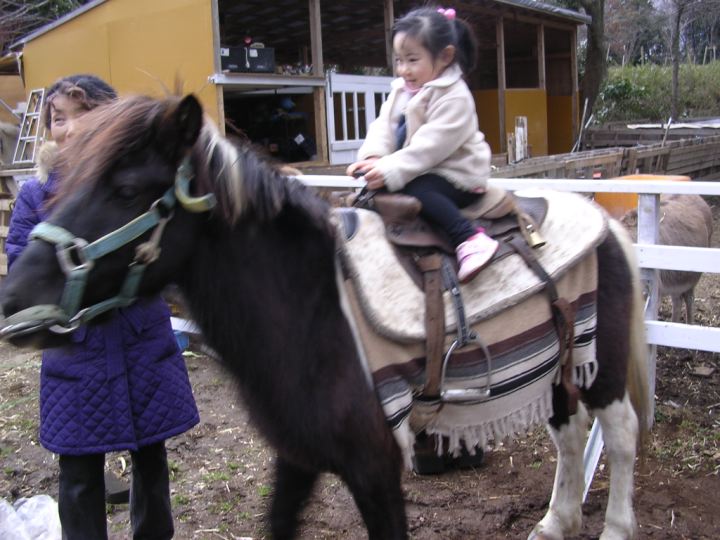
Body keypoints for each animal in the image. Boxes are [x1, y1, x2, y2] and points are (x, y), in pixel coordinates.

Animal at [0, 94, 652, 540]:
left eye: (127, 189)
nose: (13, 297)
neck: (312, 315)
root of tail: (606, 224)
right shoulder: (298, 459)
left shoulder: (376, 468)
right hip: (562, 362)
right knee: (569, 434)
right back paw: (555, 521)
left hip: (603, 366)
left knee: (619, 437)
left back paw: (617, 526)